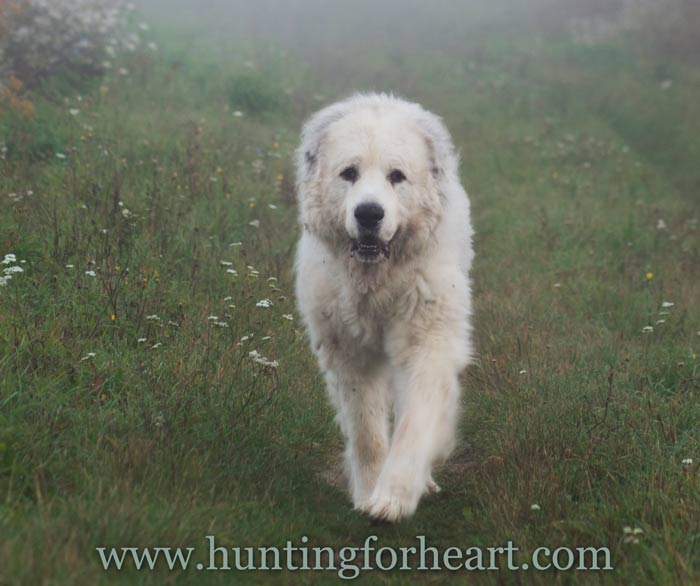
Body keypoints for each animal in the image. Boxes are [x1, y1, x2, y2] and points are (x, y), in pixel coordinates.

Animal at [292, 92, 474, 520]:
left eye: (397, 176)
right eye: (349, 173)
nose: (369, 213)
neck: (375, 281)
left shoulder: (427, 340)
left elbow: (417, 419)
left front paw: (394, 496)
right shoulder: (347, 354)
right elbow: (366, 429)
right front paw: (368, 490)